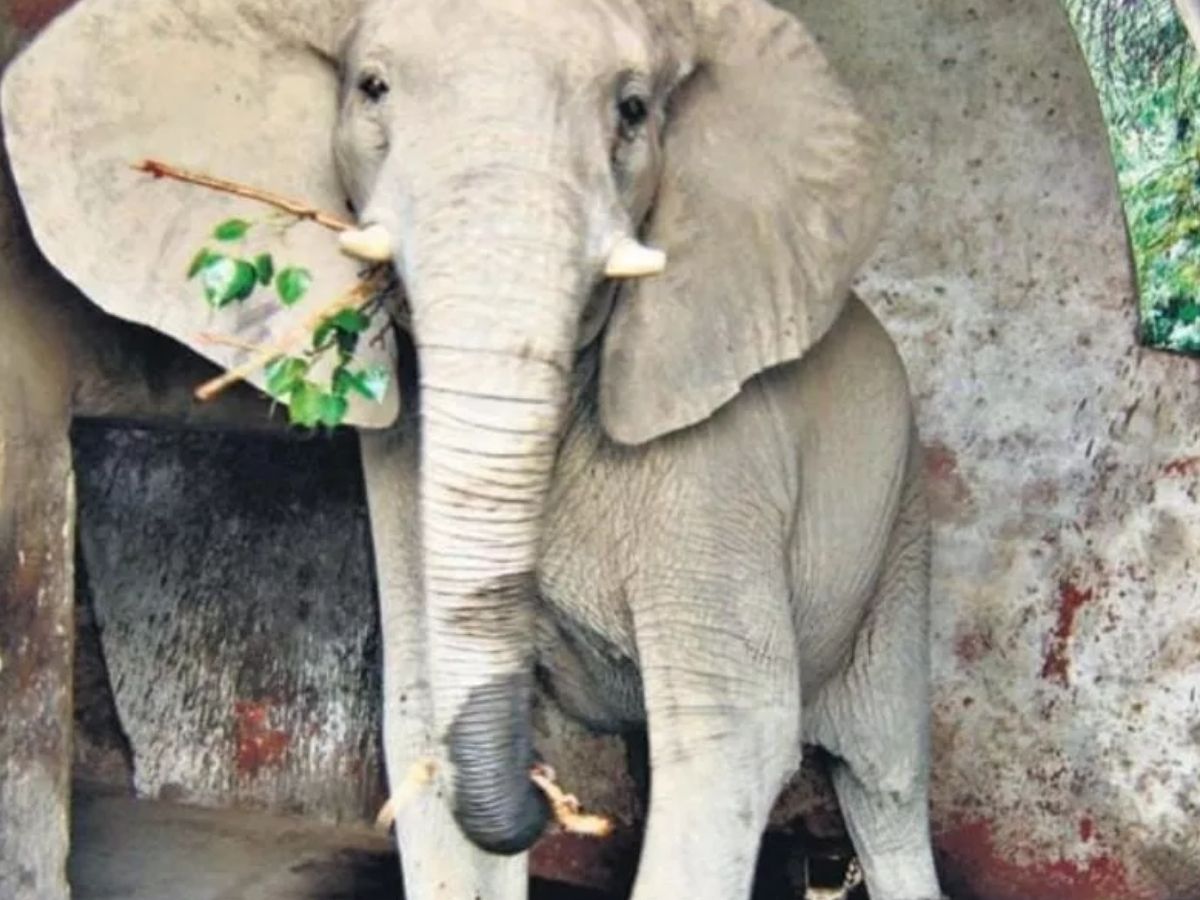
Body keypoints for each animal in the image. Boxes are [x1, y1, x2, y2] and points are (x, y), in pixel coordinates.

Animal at [1, 0, 944, 898]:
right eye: (372, 88)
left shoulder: (720, 458)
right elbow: (423, 711)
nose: (547, 804)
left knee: (883, 784)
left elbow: (730, 738)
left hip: (903, 531)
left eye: (633, 110)